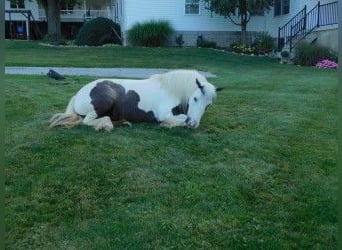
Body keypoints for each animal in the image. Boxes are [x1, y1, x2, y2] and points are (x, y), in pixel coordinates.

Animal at [49, 68, 223, 131]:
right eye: (195, 98)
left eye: (208, 105)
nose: (193, 124)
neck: (170, 90)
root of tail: (78, 94)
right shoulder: (164, 114)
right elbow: (178, 119)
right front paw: (169, 124)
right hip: (104, 102)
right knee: (88, 121)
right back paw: (106, 125)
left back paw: (122, 123)